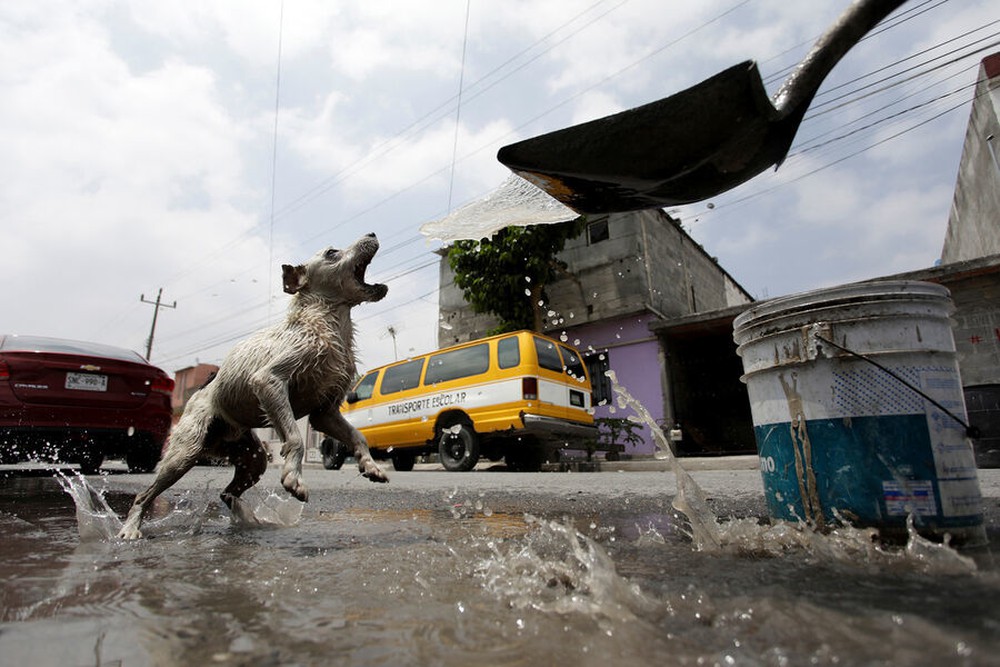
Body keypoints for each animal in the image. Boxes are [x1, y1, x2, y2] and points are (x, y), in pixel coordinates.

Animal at [120, 232, 390, 540]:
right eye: (332, 252)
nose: (372, 233)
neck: (327, 323)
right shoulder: (269, 381)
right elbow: (295, 437)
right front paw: (293, 478)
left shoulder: (325, 414)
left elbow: (358, 436)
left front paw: (370, 465)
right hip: (184, 453)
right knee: (144, 495)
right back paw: (130, 528)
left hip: (253, 457)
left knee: (227, 493)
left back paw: (247, 519)